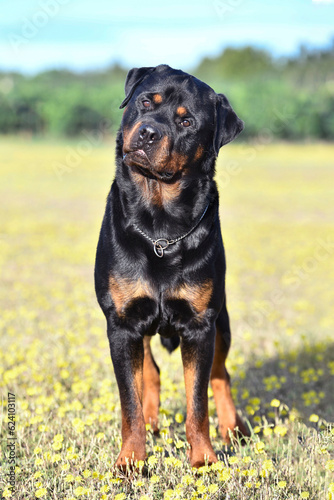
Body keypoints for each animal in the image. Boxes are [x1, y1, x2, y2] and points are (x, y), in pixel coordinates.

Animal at [95, 64, 249, 470]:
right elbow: (129, 401)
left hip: (222, 320)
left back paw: (233, 428)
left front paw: (204, 460)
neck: (160, 223)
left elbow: (197, 400)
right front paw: (131, 459)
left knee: (220, 373)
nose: (149, 132)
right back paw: (152, 420)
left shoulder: (199, 323)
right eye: (146, 102)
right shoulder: (122, 323)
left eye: (187, 122)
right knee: (150, 372)